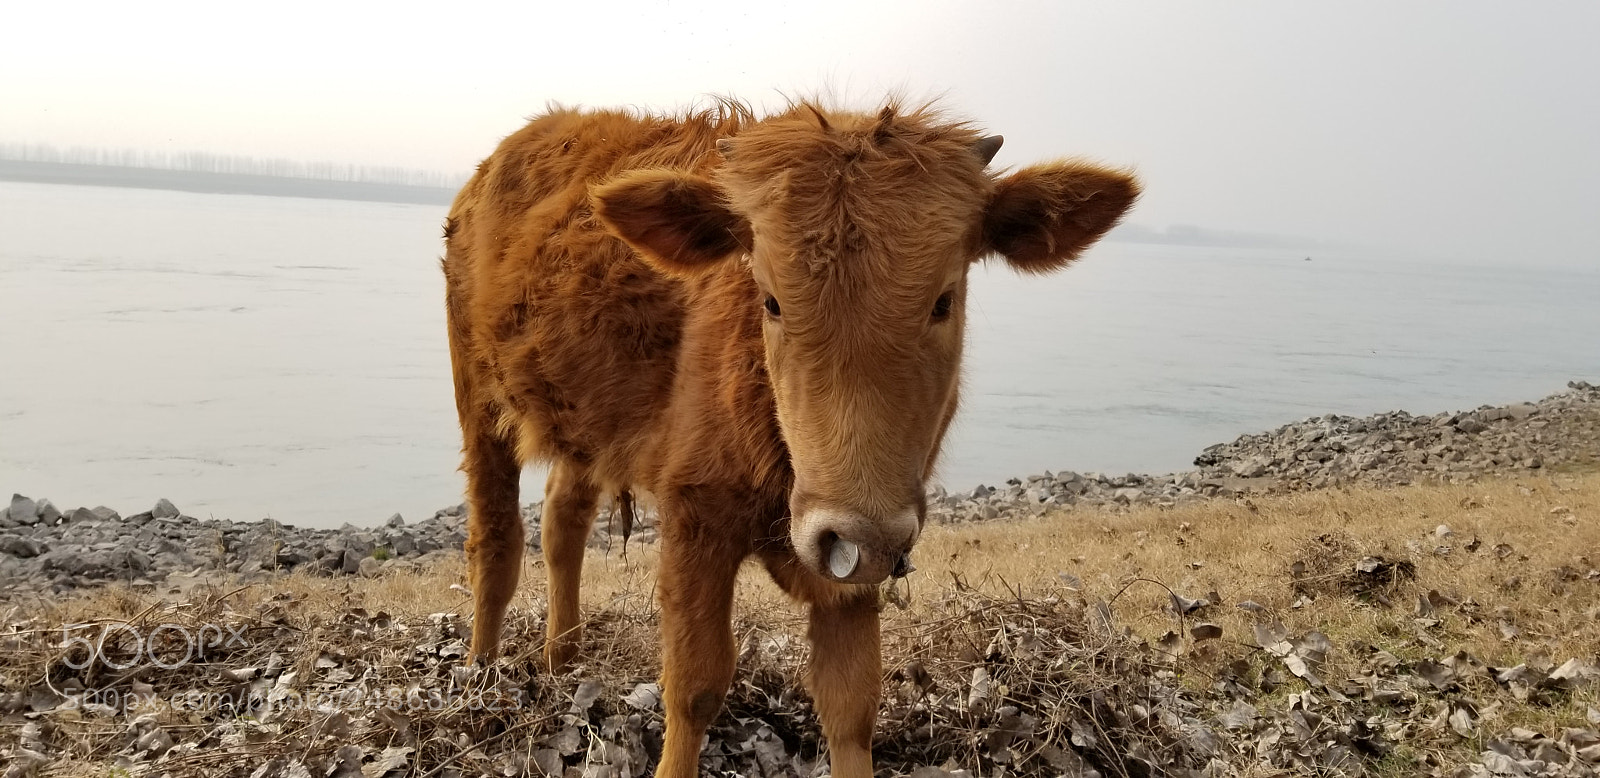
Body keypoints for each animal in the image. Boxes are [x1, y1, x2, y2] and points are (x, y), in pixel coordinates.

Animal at [441, 99, 1138, 777]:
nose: (860, 536)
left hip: (585, 426)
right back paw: (481, 678)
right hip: (477, 399)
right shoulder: (695, 519)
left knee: (563, 520)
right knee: (496, 543)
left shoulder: (856, 556)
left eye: (944, 300)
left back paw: (563, 660)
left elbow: (850, 704)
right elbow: (694, 686)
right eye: (771, 301)